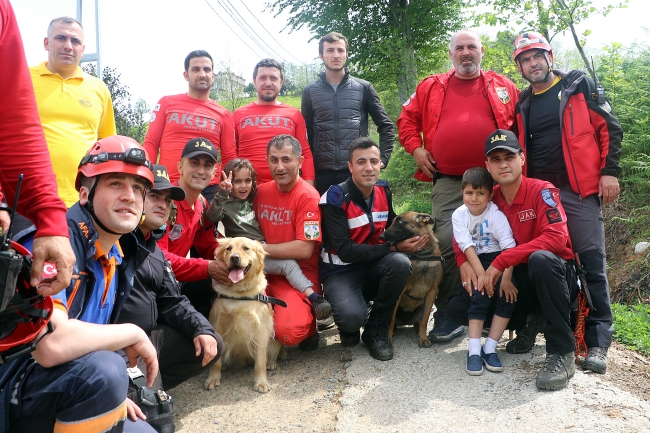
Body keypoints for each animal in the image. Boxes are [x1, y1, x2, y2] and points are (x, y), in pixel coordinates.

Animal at [204, 236, 282, 392]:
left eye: (246, 248)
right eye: (228, 248)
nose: (234, 257)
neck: (239, 294)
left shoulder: (260, 331)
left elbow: (260, 362)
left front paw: (261, 382)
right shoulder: (218, 326)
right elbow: (216, 362)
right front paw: (213, 378)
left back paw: (271, 363)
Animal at [378, 212, 442, 348]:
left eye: (400, 222)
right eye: (393, 221)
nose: (381, 236)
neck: (423, 256)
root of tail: (405, 321)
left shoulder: (433, 292)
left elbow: (425, 320)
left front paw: (423, 338)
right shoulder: (400, 290)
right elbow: (391, 319)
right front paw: (388, 337)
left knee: (420, 321)